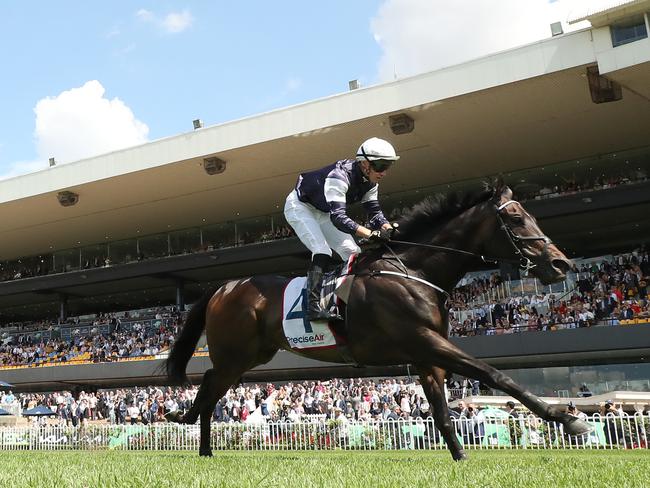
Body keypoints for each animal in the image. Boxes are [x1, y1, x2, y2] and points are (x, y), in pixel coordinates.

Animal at [165, 181, 588, 460]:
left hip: (252, 355)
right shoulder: (424, 340)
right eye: (516, 219)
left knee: (212, 388)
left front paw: (460, 458)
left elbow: (441, 411)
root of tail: (224, 286)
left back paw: (201, 442)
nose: (561, 264)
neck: (413, 272)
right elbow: (495, 374)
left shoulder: (426, 353)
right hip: (236, 354)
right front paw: (566, 418)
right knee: (209, 385)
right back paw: (189, 427)